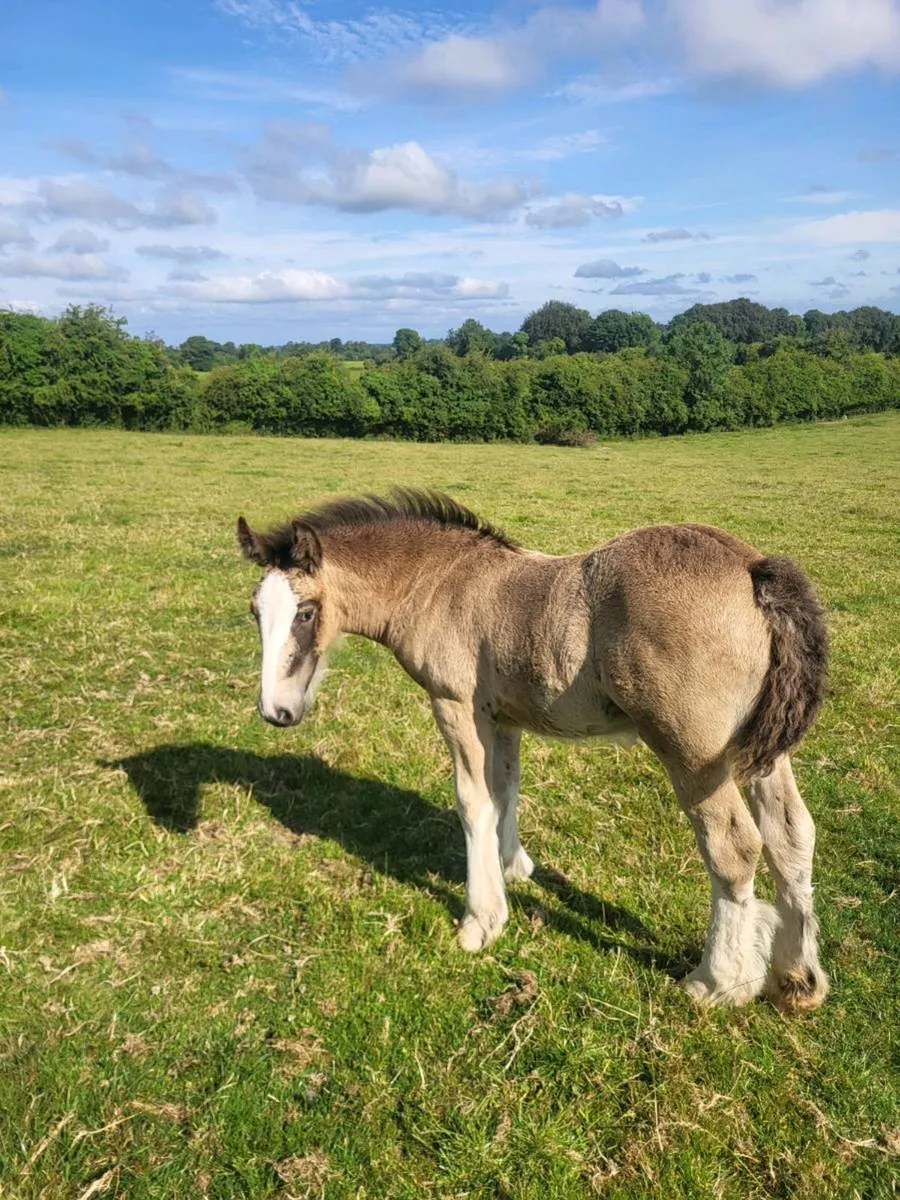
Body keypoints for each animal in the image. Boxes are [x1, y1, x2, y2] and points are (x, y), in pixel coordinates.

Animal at [237, 489, 828, 1013]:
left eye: (306, 612)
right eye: (255, 612)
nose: (276, 711)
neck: (440, 582)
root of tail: (753, 569)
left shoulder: (455, 706)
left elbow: (472, 802)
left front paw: (481, 922)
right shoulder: (502, 717)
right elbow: (505, 789)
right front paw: (512, 866)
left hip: (691, 753)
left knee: (733, 847)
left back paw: (716, 983)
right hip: (756, 754)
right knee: (791, 833)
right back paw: (798, 979)